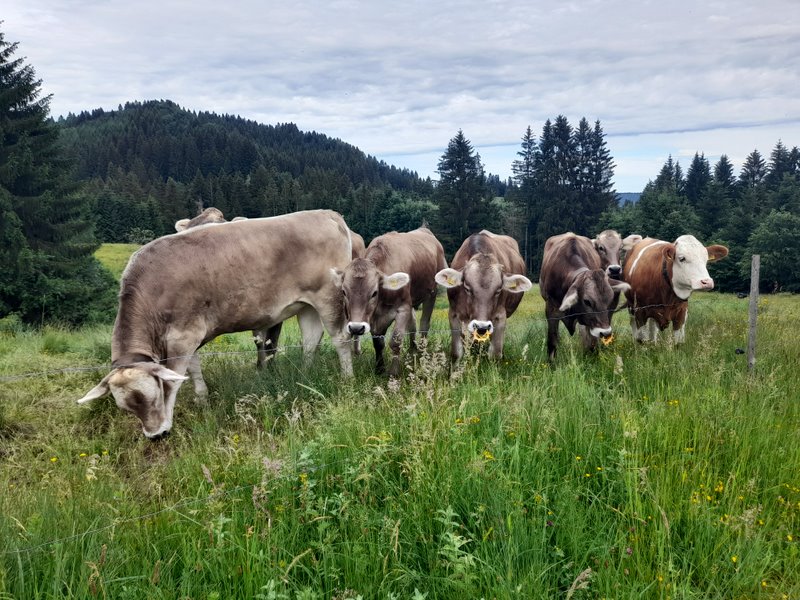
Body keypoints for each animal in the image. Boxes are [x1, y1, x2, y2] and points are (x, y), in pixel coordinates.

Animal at [77, 210, 355, 439]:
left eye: (152, 396)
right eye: (125, 407)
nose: (156, 436)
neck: (153, 288)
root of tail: (326, 213)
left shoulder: (183, 337)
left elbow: (175, 379)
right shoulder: (185, 335)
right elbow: (192, 369)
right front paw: (202, 398)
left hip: (328, 297)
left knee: (340, 338)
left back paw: (347, 378)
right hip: (306, 305)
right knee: (310, 340)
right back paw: (305, 376)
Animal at [332, 227, 446, 377]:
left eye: (374, 292)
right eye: (344, 292)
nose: (356, 328)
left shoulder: (403, 308)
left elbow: (396, 341)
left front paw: (393, 372)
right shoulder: (373, 317)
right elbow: (378, 343)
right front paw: (379, 368)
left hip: (431, 293)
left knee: (424, 324)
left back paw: (422, 352)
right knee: (413, 325)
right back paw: (412, 350)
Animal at [435, 231, 532, 361]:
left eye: (498, 290)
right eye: (467, 287)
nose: (482, 327)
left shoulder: (500, 316)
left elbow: (495, 353)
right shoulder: (453, 314)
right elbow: (456, 352)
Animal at [539, 232, 631, 361]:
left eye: (609, 301)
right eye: (587, 301)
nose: (605, 333)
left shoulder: (588, 320)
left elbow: (591, 341)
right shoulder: (551, 310)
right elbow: (552, 342)